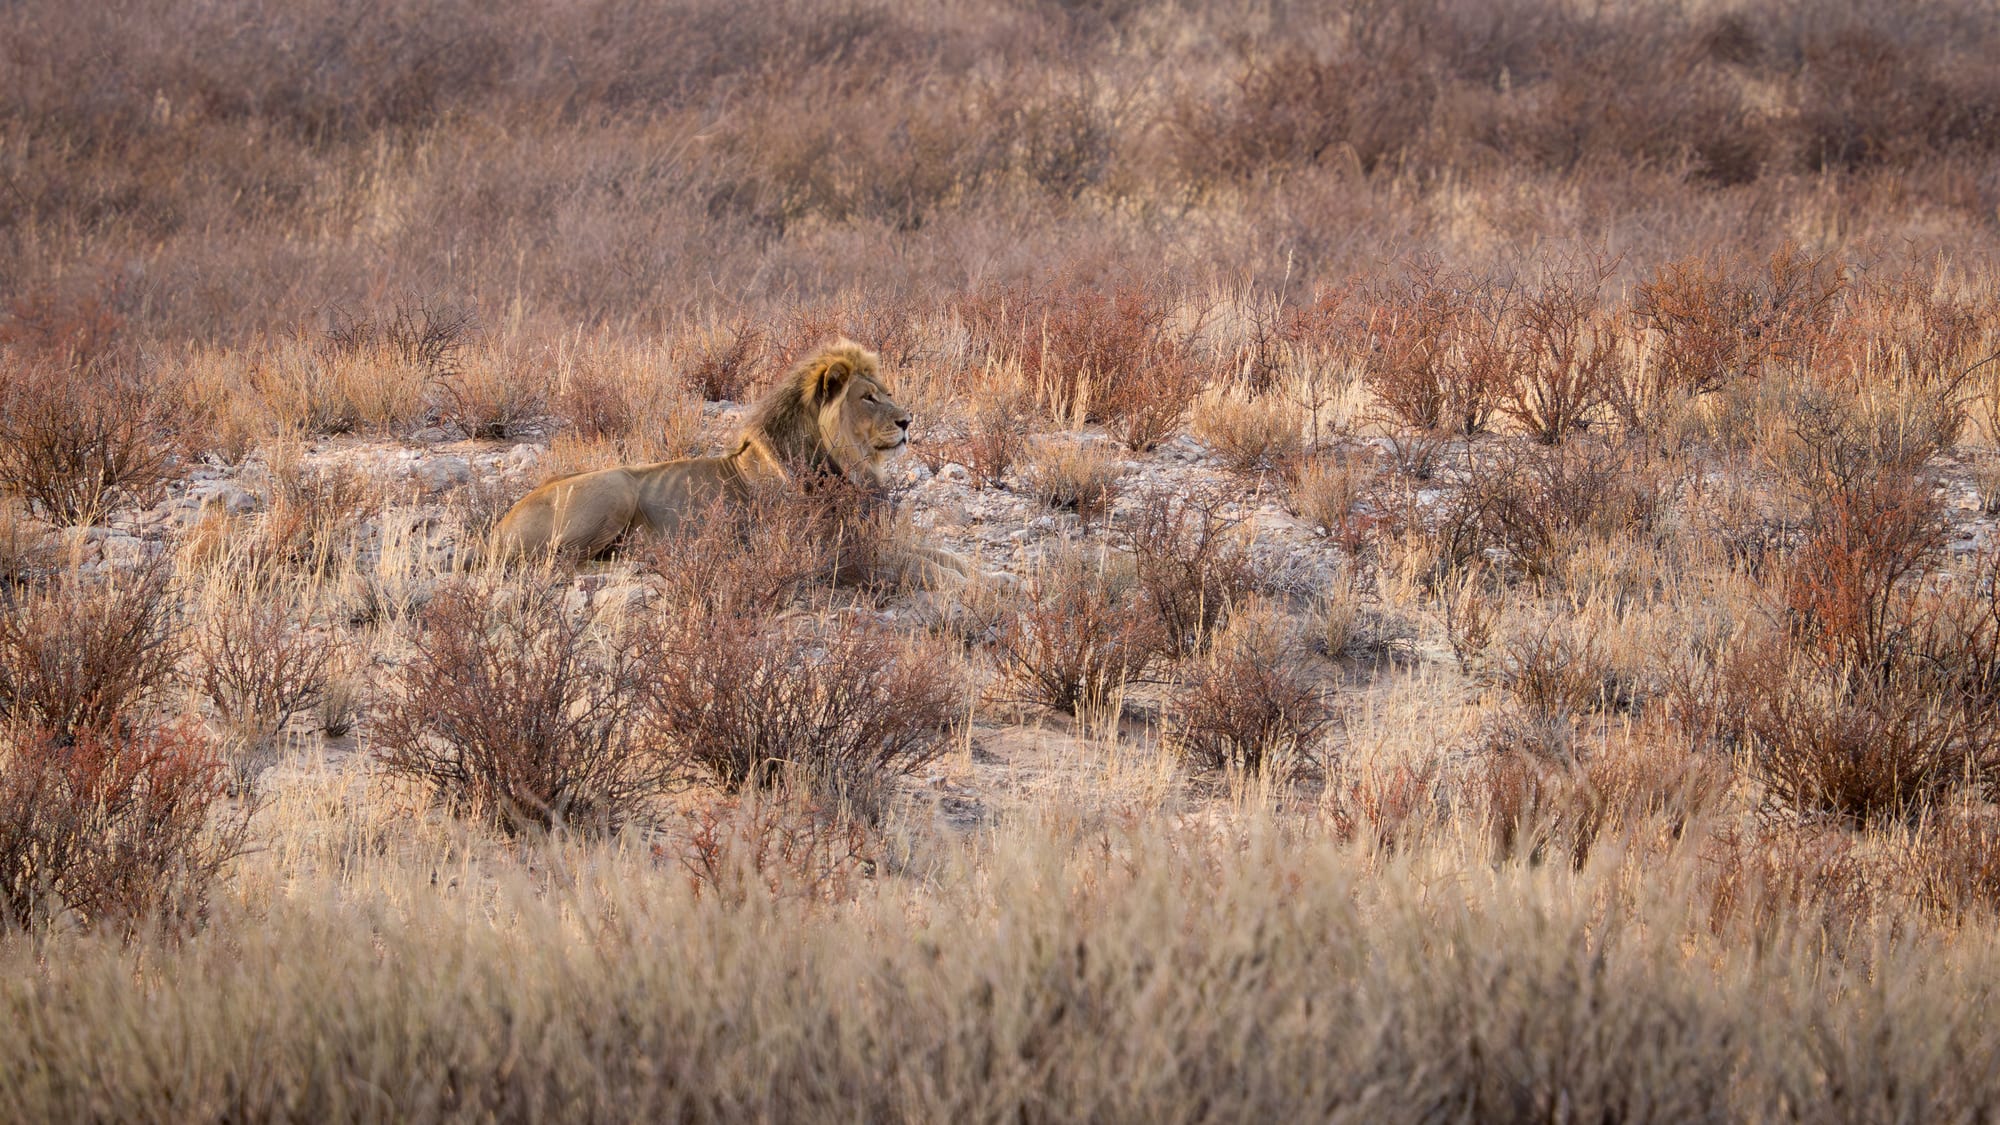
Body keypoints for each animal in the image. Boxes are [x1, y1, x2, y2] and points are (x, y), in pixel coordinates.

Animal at [488, 338, 977, 588]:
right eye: (868, 397)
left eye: (887, 392)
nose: (907, 421)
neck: (846, 464)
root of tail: (498, 526)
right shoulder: (831, 550)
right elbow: (924, 566)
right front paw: (975, 590)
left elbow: (945, 557)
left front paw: (988, 579)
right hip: (615, 488)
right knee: (562, 562)